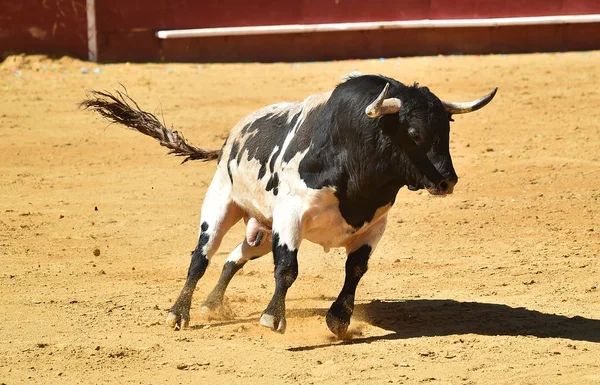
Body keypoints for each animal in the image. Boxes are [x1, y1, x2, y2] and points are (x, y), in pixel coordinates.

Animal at [81, 73, 496, 336]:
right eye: (414, 133)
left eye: (446, 131)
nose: (447, 181)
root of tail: (229, 139)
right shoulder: (290, 218)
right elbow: (288, 270)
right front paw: (272, 318)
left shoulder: (374, 226)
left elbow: (355, 270)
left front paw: (339, 321)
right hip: (221, 206)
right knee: (201, 258)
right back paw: (178, 314)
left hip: (261, 231)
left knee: (234, 257)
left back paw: (212, 305)